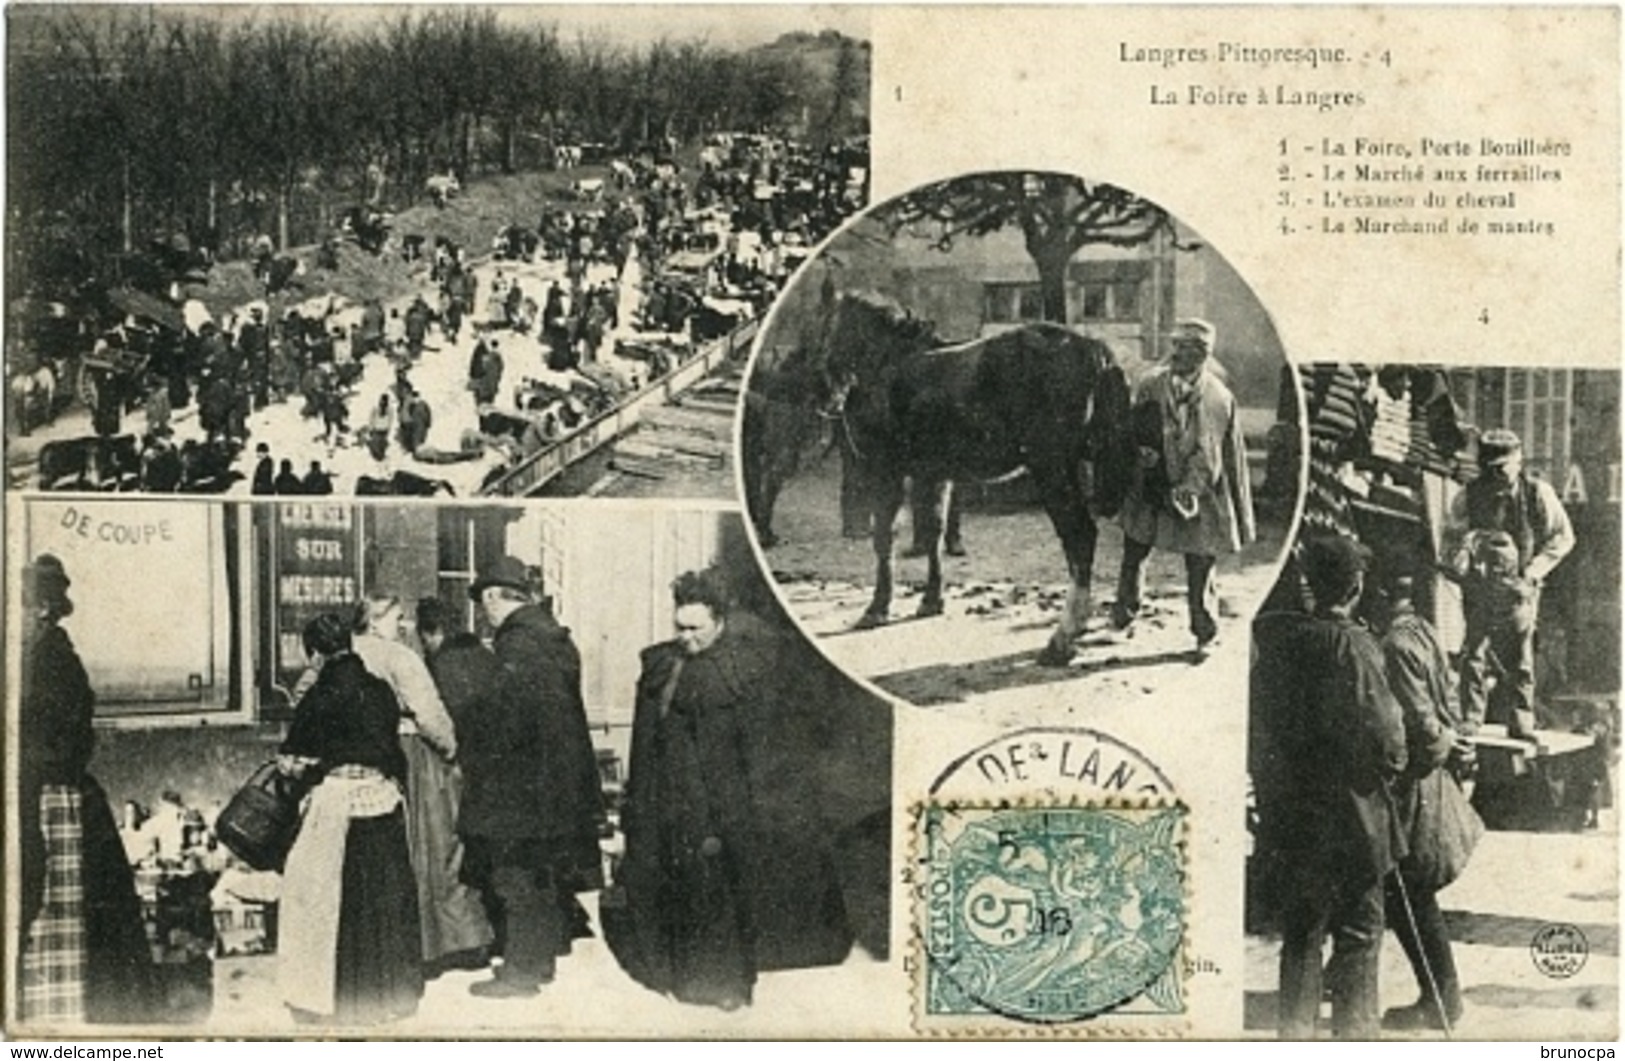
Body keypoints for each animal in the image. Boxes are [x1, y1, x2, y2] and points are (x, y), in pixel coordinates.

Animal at [799, 292, 1131, 662]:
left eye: (826, 327)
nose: (821, 393)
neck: (889, 363)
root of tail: (1092, 348)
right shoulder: (933, 475)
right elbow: (933, 530)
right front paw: (931, 600)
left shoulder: (887, 472)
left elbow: (885, 537)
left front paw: (877, 607)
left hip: (1053, 468)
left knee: (1080, 536)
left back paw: (1063, 637)